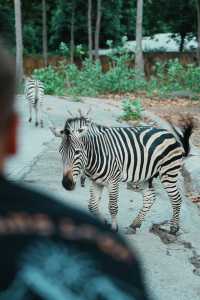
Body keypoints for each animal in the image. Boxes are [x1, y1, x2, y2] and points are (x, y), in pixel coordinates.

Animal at [49, 115, 192, 234]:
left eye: (77, 152)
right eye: (60, 152)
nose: (66, 184)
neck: (96, 154)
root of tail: (169, 134)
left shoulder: (113, 181)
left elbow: (112, 207)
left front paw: (113, 228)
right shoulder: (96, 182)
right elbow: (92, 206)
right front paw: (104, 223)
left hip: (168, 172)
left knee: (176, 198)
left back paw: (173, 228)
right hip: (144, 176)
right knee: (149, 197)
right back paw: (135, 225)